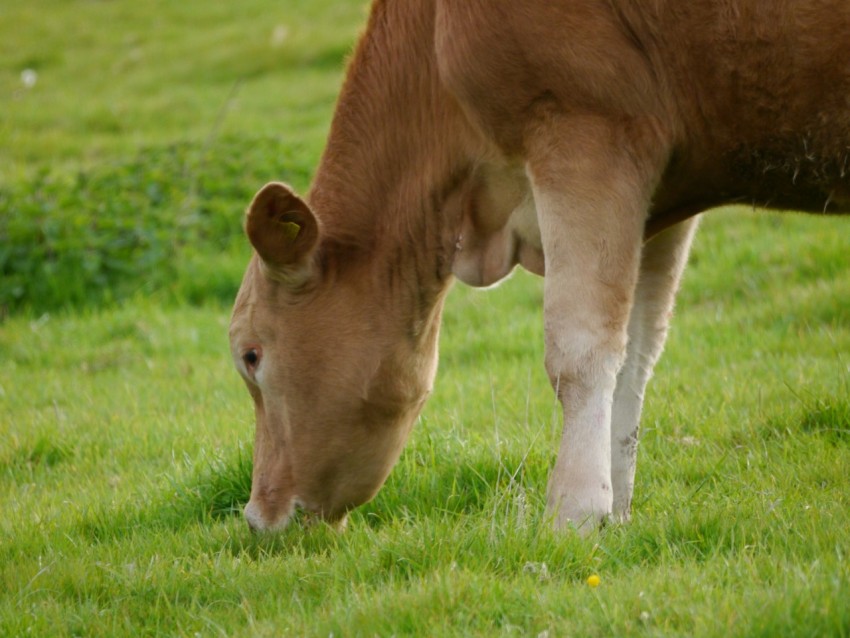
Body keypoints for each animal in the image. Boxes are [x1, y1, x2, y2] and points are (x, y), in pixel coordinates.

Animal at [229, 0, 848, 536]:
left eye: (250, 356)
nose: (256, 516)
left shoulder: (584, 131)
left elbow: (579, 349)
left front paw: (574, 513)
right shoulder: (663, 195)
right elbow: (636, 353)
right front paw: (616, 513)